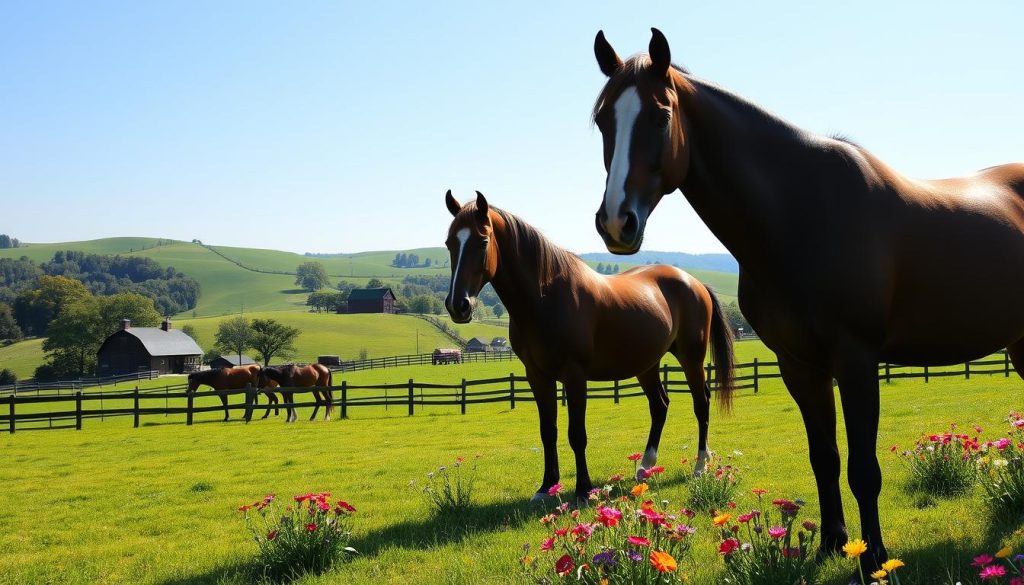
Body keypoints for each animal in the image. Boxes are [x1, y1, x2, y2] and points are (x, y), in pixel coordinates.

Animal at [444, 189, 733, 502]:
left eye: (483, 241)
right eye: (449, 243)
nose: (458, 305)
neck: (545, 298)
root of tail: (694, 282)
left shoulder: (574, 375)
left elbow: (576, 434)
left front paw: (584, 489)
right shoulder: (537, 376)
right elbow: (548, 431)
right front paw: (546, 487)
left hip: (691, 358)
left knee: (701, 403)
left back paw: (700, 466)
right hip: (647, 364)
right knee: (659, 405)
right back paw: (645, 467)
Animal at [589, 27, 1024, 573]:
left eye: (661, 115)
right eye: (602, 120)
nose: (616, 222)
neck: (798, 213)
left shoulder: (856, 360)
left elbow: (862, 468)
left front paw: (873, 556)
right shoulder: (799, 364)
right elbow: (825, 459)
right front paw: (833, 542)